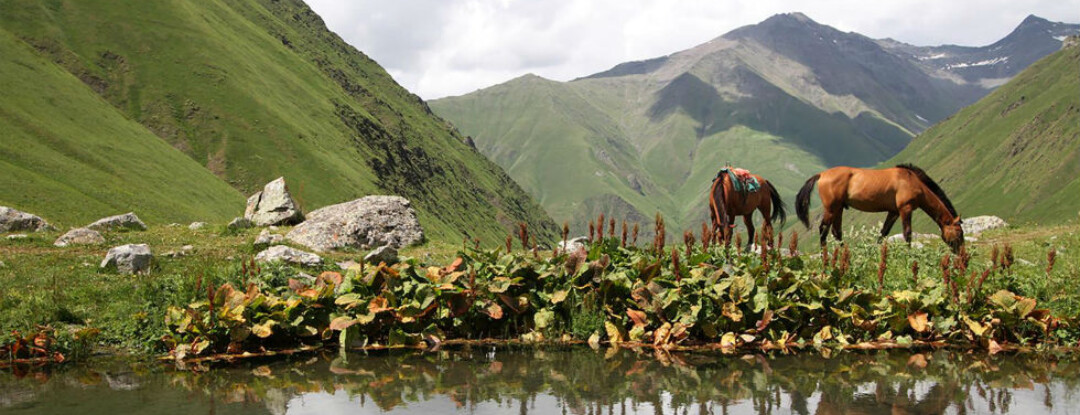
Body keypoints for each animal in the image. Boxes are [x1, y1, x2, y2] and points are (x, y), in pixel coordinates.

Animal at [794, 164, 963, 250]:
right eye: (959, 233)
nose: (962, 255)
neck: (912, 182)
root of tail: (821, 174)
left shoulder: (894, 212)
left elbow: (883, 233)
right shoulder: (905, 209)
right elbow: (907, 234)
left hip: (839, 208)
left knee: (836, 232)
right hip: (831, 208)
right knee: (823, 230)